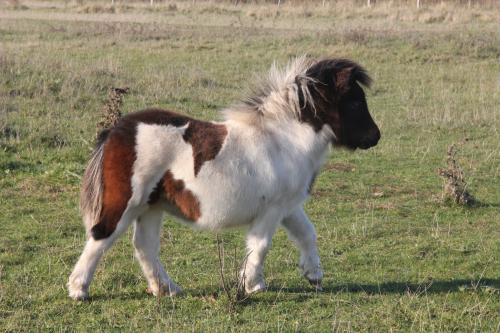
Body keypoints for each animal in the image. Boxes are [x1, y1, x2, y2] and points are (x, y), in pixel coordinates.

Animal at [66, 55, 378, 300]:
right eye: (353, 103)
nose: (375, 137)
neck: (285, 139)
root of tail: (116, 130)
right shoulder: (272, 210)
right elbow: (260, 246)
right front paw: (253, 285)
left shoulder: (288, 207)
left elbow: (307, 234)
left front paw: (313, 275)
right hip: (127, 201)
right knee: (101, 235)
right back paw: (79, 290)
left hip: (150, 207)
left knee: (145, 246)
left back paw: (167, 289)